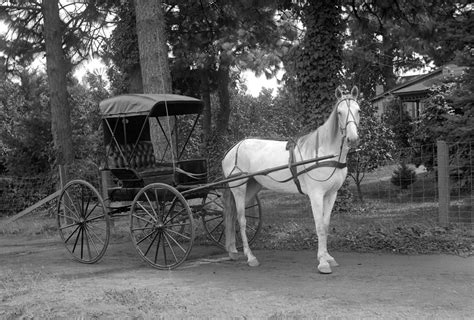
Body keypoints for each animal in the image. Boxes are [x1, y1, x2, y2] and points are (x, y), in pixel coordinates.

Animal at [222, 86, 360, 274]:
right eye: (339, 112)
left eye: (358, 110)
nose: (352, 139)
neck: (323, 152)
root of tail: (233, 148)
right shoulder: (316, 195)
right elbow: (319, 226)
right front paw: (323, 262)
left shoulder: (331, 194)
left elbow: (325, 225)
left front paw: (328, 257)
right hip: (238, 188)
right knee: (241, 220)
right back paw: (250, 257)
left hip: (252, 187)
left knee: (232, 215)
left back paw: (232, 251)